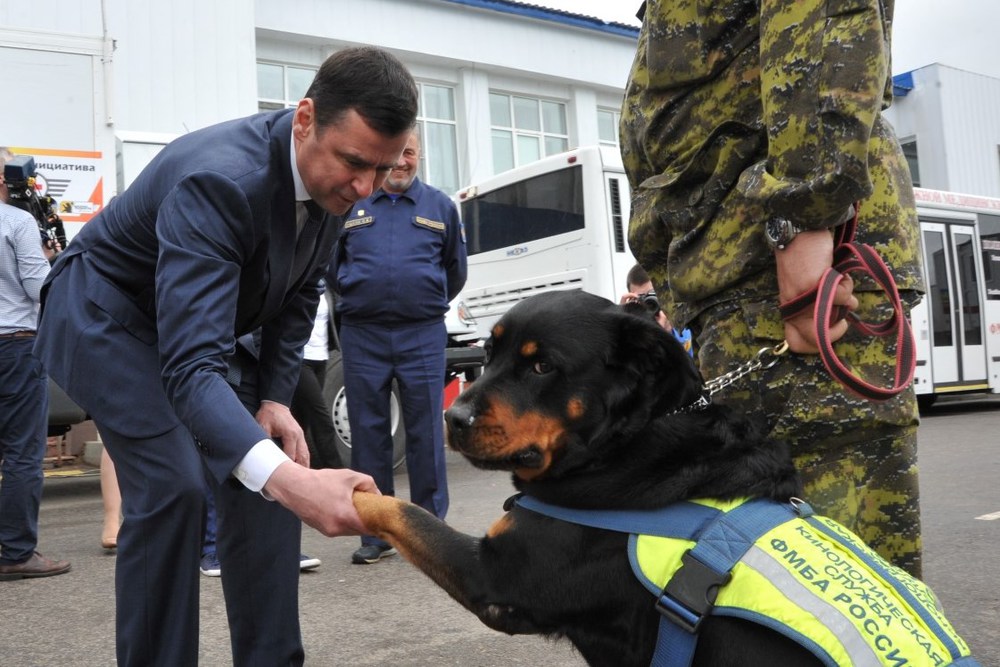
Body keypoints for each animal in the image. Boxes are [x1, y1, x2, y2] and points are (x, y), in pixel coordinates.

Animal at [352, 292, 944, 667]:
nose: (453, 419)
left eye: (542, 367)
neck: (626, 443)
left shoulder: (494, 579)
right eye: (489, 353)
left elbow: (402, 509)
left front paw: (353, 492)